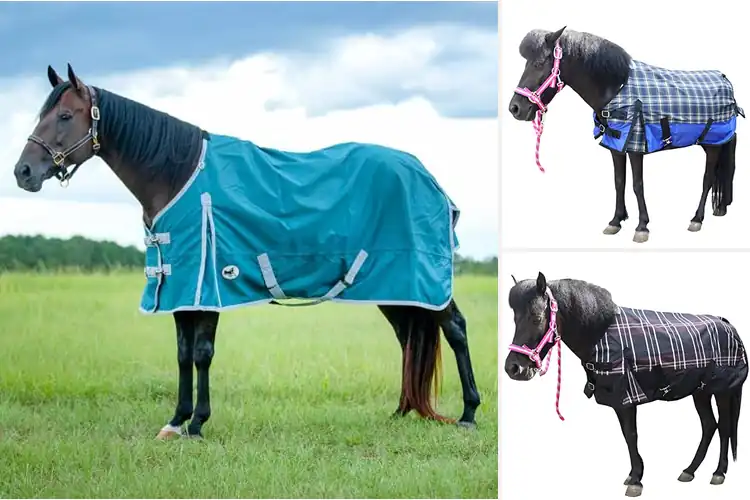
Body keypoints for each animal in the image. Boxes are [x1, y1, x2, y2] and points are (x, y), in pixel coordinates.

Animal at [11, 63, 482, 439]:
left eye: (65, 116)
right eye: (42, 114)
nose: (23, 172)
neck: (177, 173)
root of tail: (427, 177)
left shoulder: (206, 285)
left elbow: (202, 354)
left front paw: (197, 424)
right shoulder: (182, 288)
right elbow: (182, 354)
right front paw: (175, 421)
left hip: (420, 279)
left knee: (455, 328)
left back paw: (469, 413)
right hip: (393, 285)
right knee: (408, 337)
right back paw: (402, 412)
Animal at [503, 272, 748, 496]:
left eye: (536, 318)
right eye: (515, 319)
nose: (513, 368)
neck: (601, 333)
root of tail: (729, 326)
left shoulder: (627, 397)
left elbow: (631, 435)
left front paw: (636, 481)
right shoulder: (621, 400)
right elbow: (626, 435)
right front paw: (632, 475)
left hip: (722, 391)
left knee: (724, 427)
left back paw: (718, 473)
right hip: (701, 391)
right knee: (709, 426)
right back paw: (689, 471)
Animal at [508, 27, 745, 243]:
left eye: (539, 64)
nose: (515, 108)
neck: (616, 88)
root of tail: (726, 82)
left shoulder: (635, 145)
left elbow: (637, 185)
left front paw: (642, 227)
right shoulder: (617, 145)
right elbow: (619, 182)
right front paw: (616, 221)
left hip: (713, 144)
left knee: (707, 178)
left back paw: (696, 219)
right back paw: (719, 208)